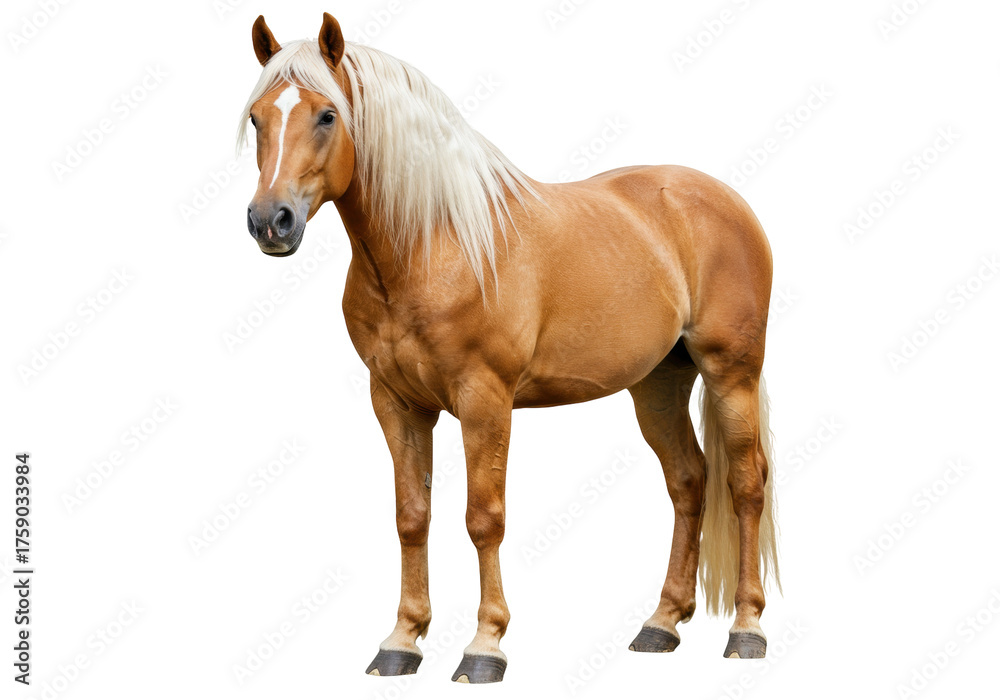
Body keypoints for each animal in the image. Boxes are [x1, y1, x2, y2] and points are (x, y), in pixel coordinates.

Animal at [239, 13, 781, 683]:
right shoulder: (395, 402)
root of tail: (725, 202)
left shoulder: (485, 401)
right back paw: (661, 624)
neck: (433, 242)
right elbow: (410, 516)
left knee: (746, 483)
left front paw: (485, 645)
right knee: (688, 480)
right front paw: (401, 641)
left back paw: (747, 629)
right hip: (658, 383)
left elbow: (483, 518)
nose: (271, 221)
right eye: (257, 118)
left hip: (732, 373)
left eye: (326, 115)